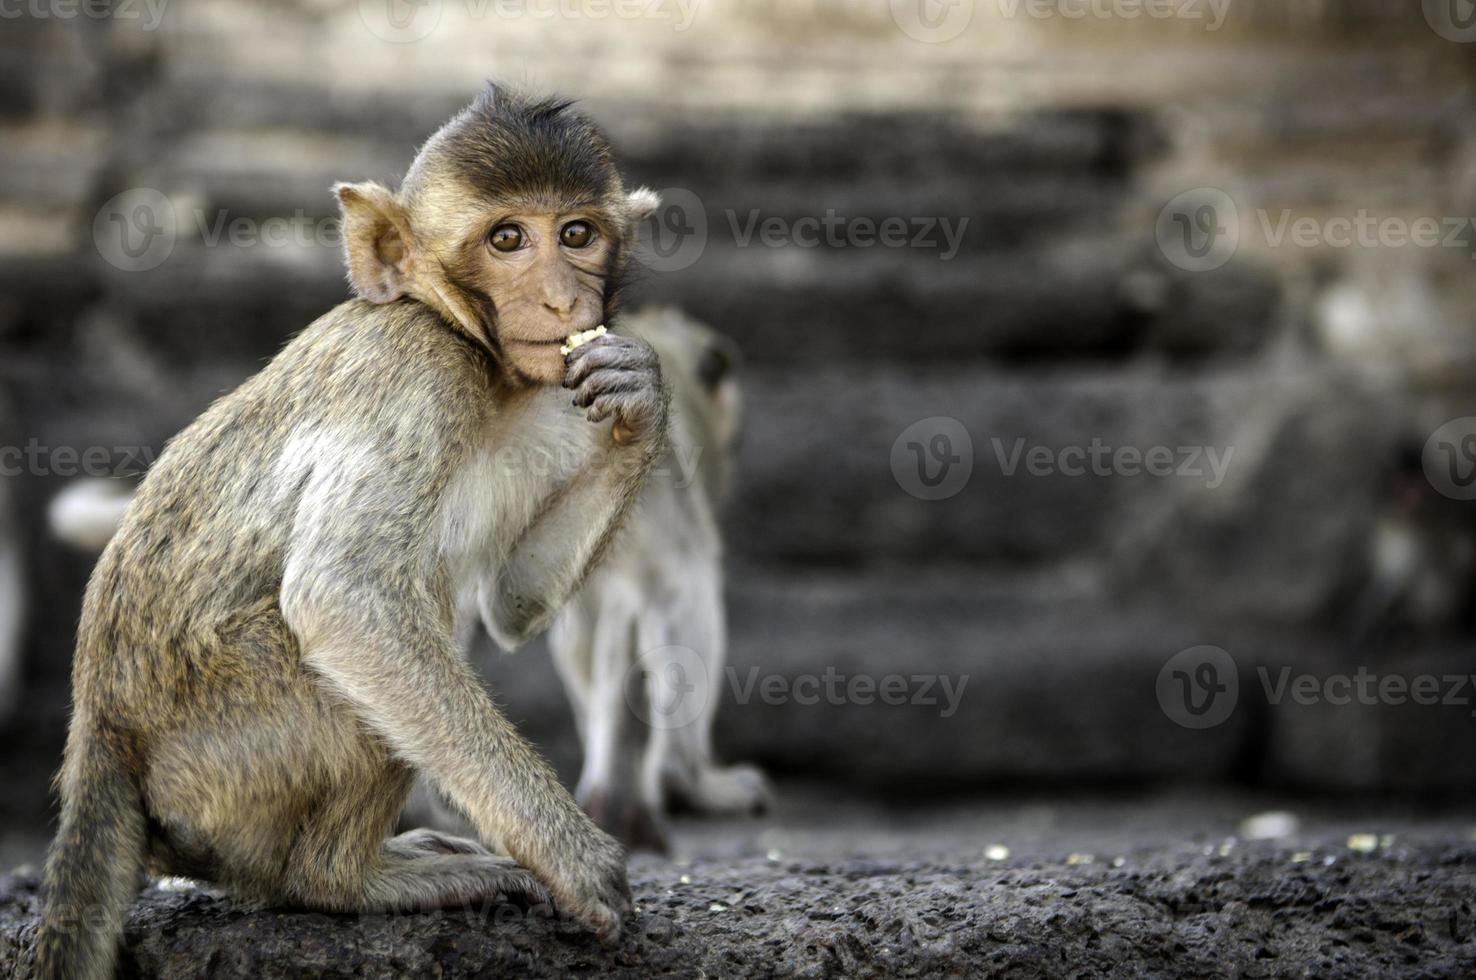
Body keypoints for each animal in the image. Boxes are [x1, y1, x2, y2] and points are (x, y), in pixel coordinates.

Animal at [31, 85, 667, 980]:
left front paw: (642, 398)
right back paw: (348, 879)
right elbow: (344, 601)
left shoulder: (550, 402)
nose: (559, 299)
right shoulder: (416, 372)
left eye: (576, 234)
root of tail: (100, 727)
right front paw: (573, 855)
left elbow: (512, 601)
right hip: (222, 744)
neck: (465, 342)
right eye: (507, 238)